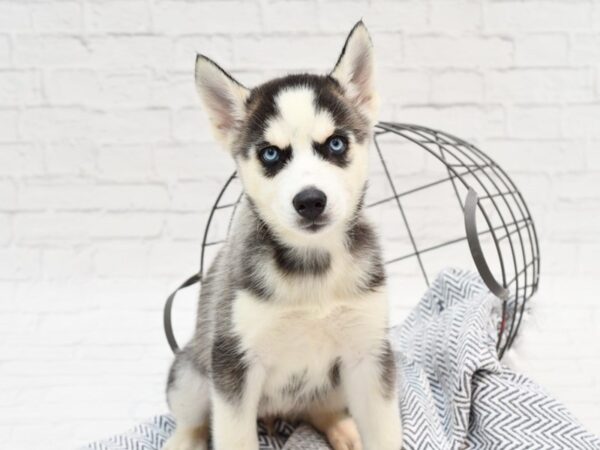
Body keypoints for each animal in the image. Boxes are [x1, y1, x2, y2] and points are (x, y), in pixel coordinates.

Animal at [164, 22, 404, 450]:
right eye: (271, 154)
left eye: (336, 143)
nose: (310, 201)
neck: (313, 263)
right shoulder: (234, 366)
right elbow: (233, 437)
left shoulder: (369, 355)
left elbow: (385, 433)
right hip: (191, 374)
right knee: (193, 419)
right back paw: (182, 440)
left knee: (319, 408)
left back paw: (342, 429)